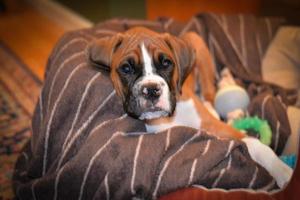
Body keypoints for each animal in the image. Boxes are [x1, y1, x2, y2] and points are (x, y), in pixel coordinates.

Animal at [88, 27, 292, 188]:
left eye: (166, 63)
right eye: (126, 68)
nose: (152, 90)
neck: (170, 117)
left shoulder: (215, 127)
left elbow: (255, 144)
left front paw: (282, 170)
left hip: (197, 45)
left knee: (209, 93)